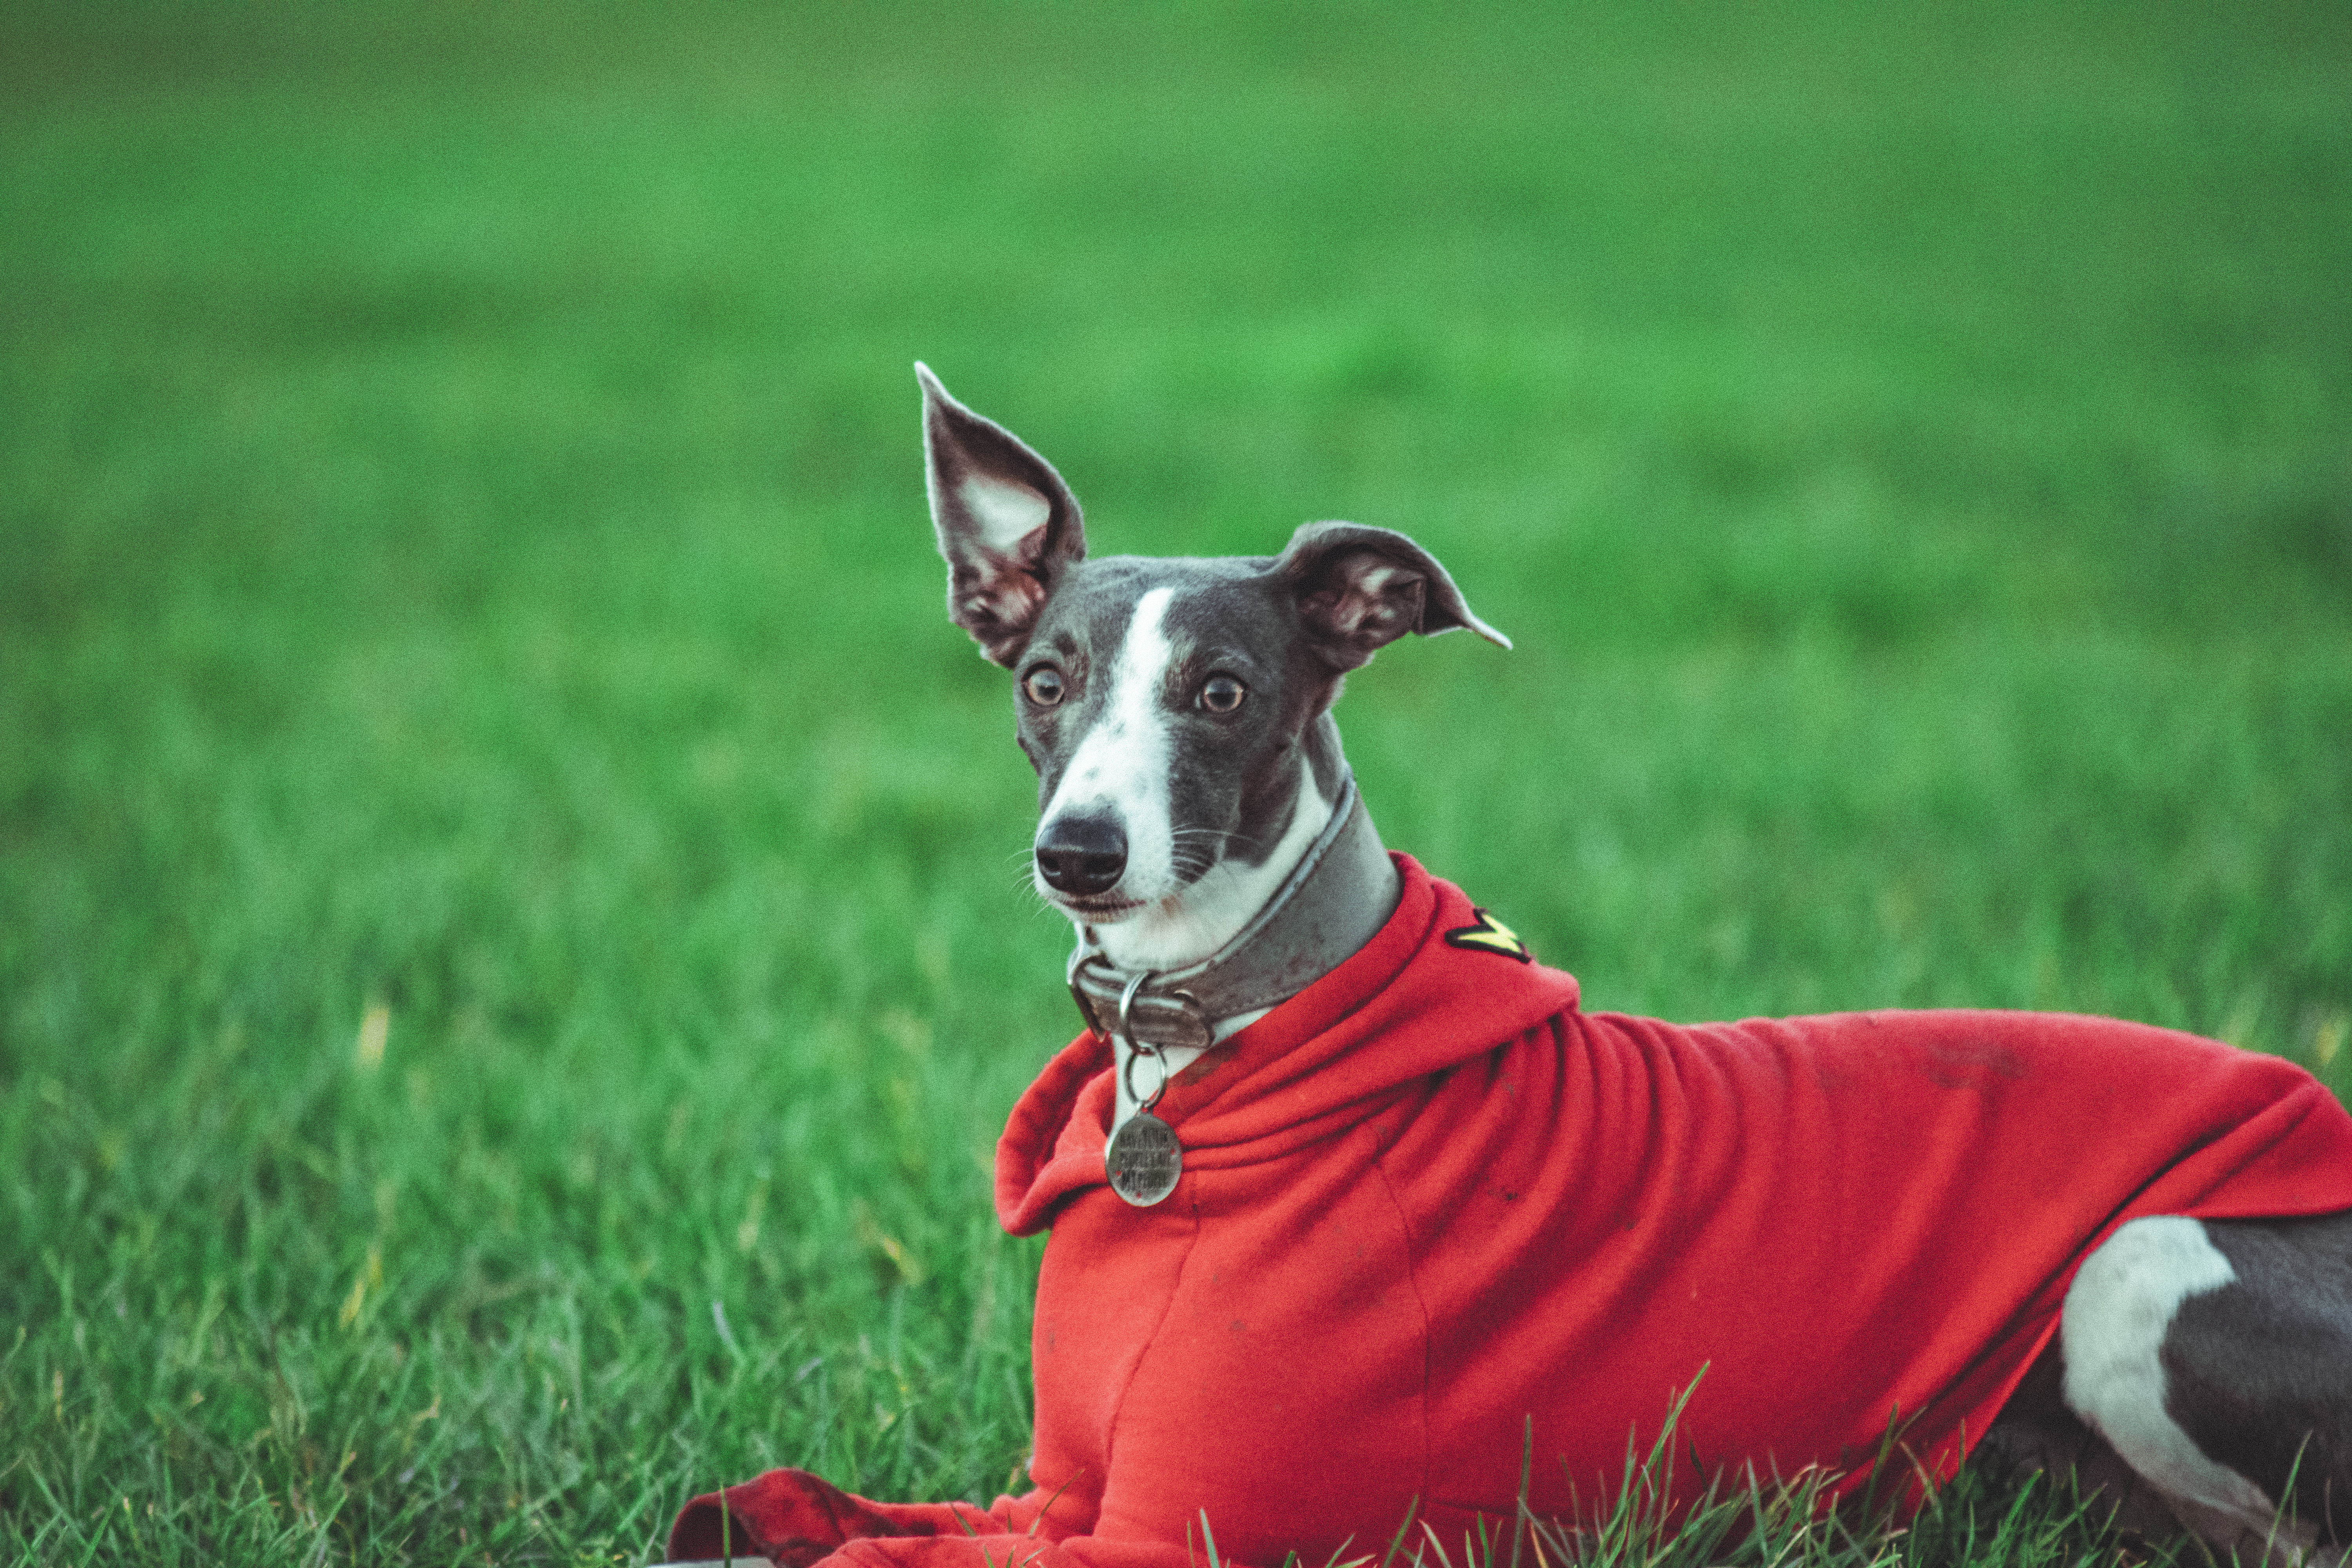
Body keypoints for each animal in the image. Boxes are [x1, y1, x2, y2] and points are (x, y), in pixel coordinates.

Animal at [659, 364, 2352, 1568]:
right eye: (1045, 680)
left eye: (1223, 690)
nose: (1079, 851)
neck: (1209, 1040)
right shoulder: (1055, 1493)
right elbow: (789, 1515)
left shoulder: (1165, 1536)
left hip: (2138, 1265)